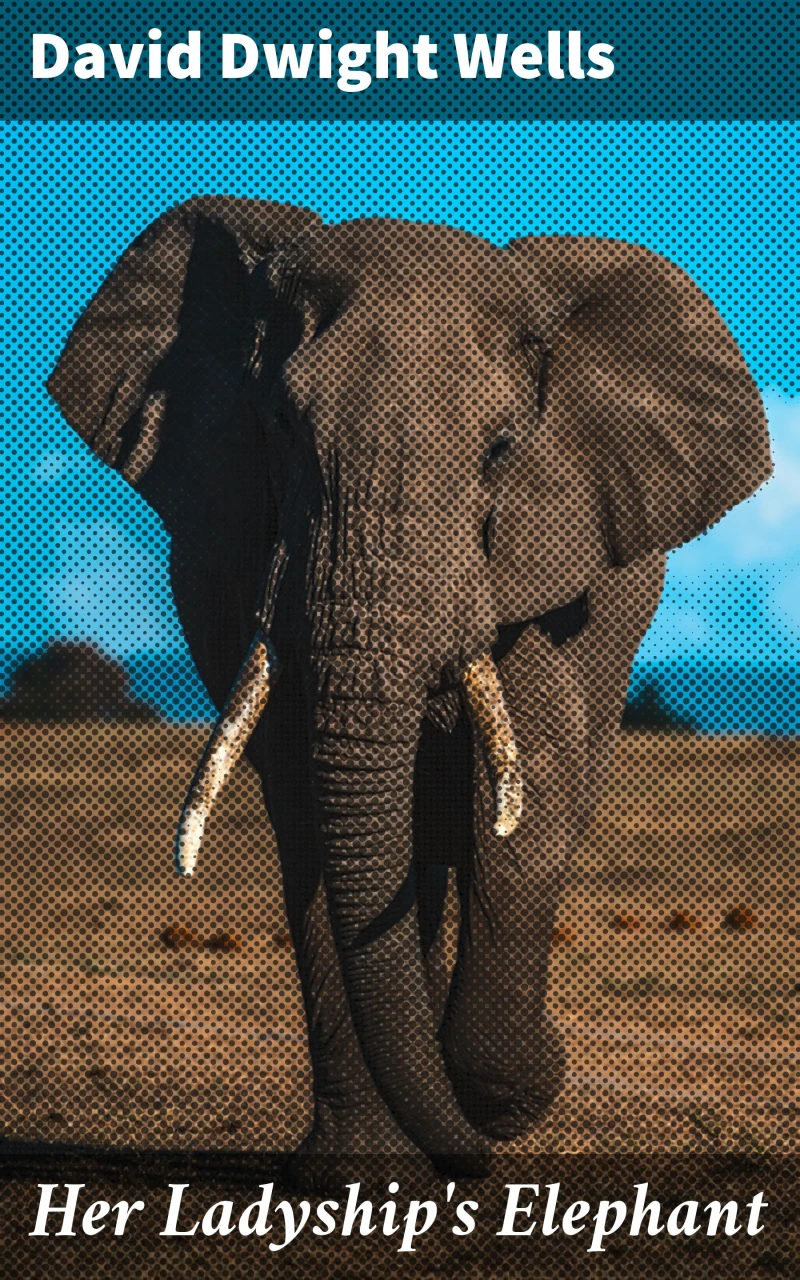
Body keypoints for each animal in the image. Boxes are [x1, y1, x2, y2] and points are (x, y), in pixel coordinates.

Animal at [48, 197, 771, 1175]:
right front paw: (362, 1172)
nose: (478, 1153)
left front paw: (502, 1097)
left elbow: (528, 802)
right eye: (280, 426)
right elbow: (314, 818)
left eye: (502, 451)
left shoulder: (540, 566)